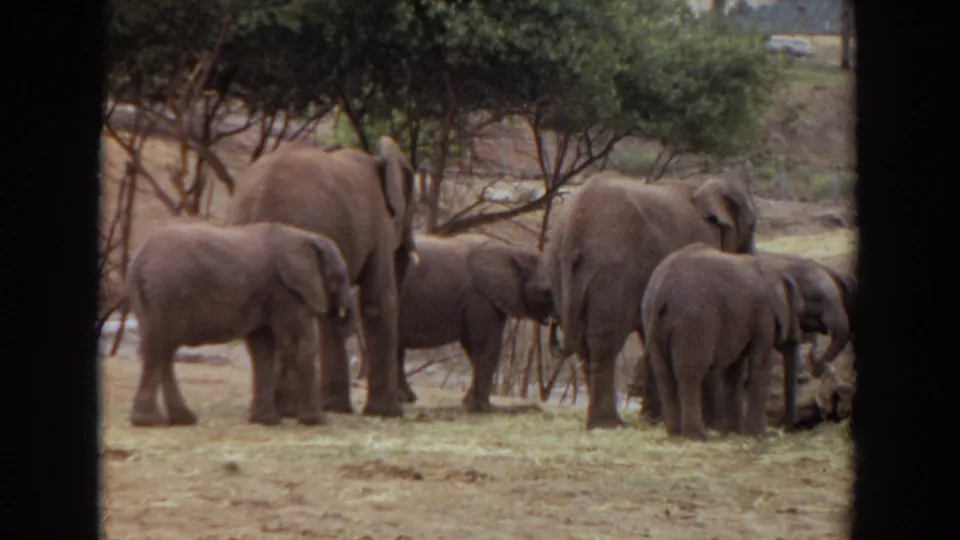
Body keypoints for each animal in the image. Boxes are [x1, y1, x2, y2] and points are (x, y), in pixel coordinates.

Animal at [126, 219, 358, 427]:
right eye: (339, 277)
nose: (344, 314)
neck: (305, 236)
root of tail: (139, 261)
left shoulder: (270, 294)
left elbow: (262, 348)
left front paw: (267, 421)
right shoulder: (286, 291)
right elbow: (299, 346)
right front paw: (318, 421)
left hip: (150, 298)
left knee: (162, 350)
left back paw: (182, 420)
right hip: (167, 291)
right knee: (160, 347)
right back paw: (150, 422)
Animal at [226, 137, 419, 418]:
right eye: (413, 209)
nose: (409, 400)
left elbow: (331, 311)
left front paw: (337, 408)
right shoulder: (379, 225)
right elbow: (376, 303)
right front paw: (388, 413)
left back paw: (279, 410)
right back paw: (289, 410)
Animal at [382, 233, 553, 412]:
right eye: (546, 292)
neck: (512, 251)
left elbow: (474, 346)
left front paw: (469, 403)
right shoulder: (479, 298)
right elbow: (486, 344)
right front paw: (481, 407)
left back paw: (406, 398)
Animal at [530, 173, 758, 429]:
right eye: (752, 227)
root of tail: (573, 230)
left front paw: (653, 419)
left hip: (560, 272)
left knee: (583, 344)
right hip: (613, 273)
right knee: (604, 343)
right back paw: (608, 424)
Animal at [640, 243, 805, 440]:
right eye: (799, 311)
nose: (786, 428)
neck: (775, 271)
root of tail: (662, 291)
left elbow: (735, 370)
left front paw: (736, 431)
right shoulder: (764, 313)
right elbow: (760, 365)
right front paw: (759, 434)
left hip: (651, 320)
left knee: (663, 373)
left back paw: (675, 433)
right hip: (693, 322)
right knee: (690, 374)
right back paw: (697, 436)